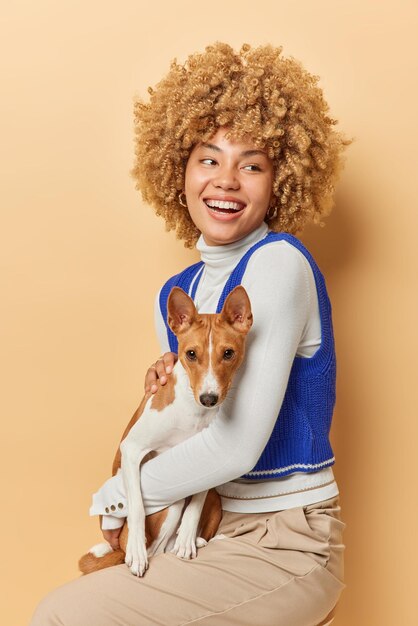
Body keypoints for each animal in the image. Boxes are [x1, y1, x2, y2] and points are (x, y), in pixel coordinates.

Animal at [80, 284, 253, 576]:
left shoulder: (208, 456)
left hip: (214, 498)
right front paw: (137, 551)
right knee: (157, 549)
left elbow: (195, 504)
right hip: (169, 503)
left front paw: (187, 539)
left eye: (228, 353)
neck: (191, 410)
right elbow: (136, 505)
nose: (209, 398)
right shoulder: (132, 449)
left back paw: (199, 540)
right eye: (191, 354)